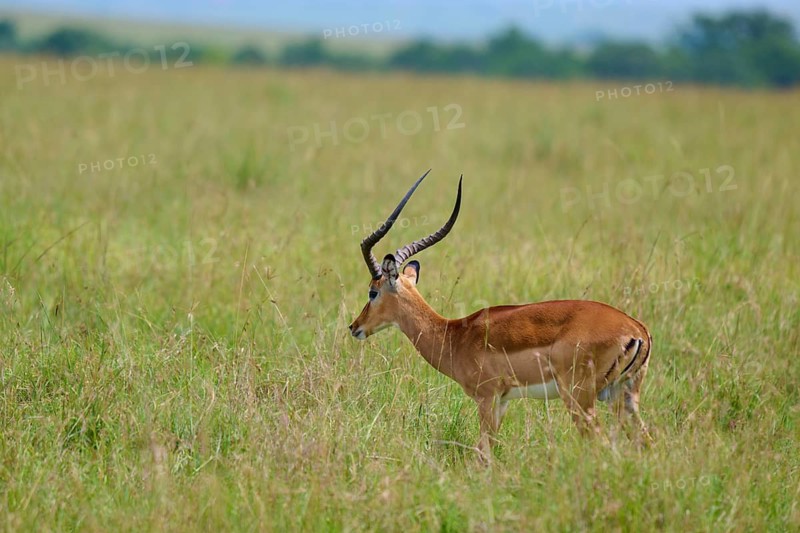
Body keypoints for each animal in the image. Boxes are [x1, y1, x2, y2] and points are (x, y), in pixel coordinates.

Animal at [349, 170, 653, 462]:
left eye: (372, 292)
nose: (354, 326)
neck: (455, 335)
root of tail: (637, 330)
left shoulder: (487, 398)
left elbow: (483, 452)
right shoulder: (503, 401)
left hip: (581, 398)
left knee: (600, 444)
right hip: (623, 396)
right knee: (646, 441)